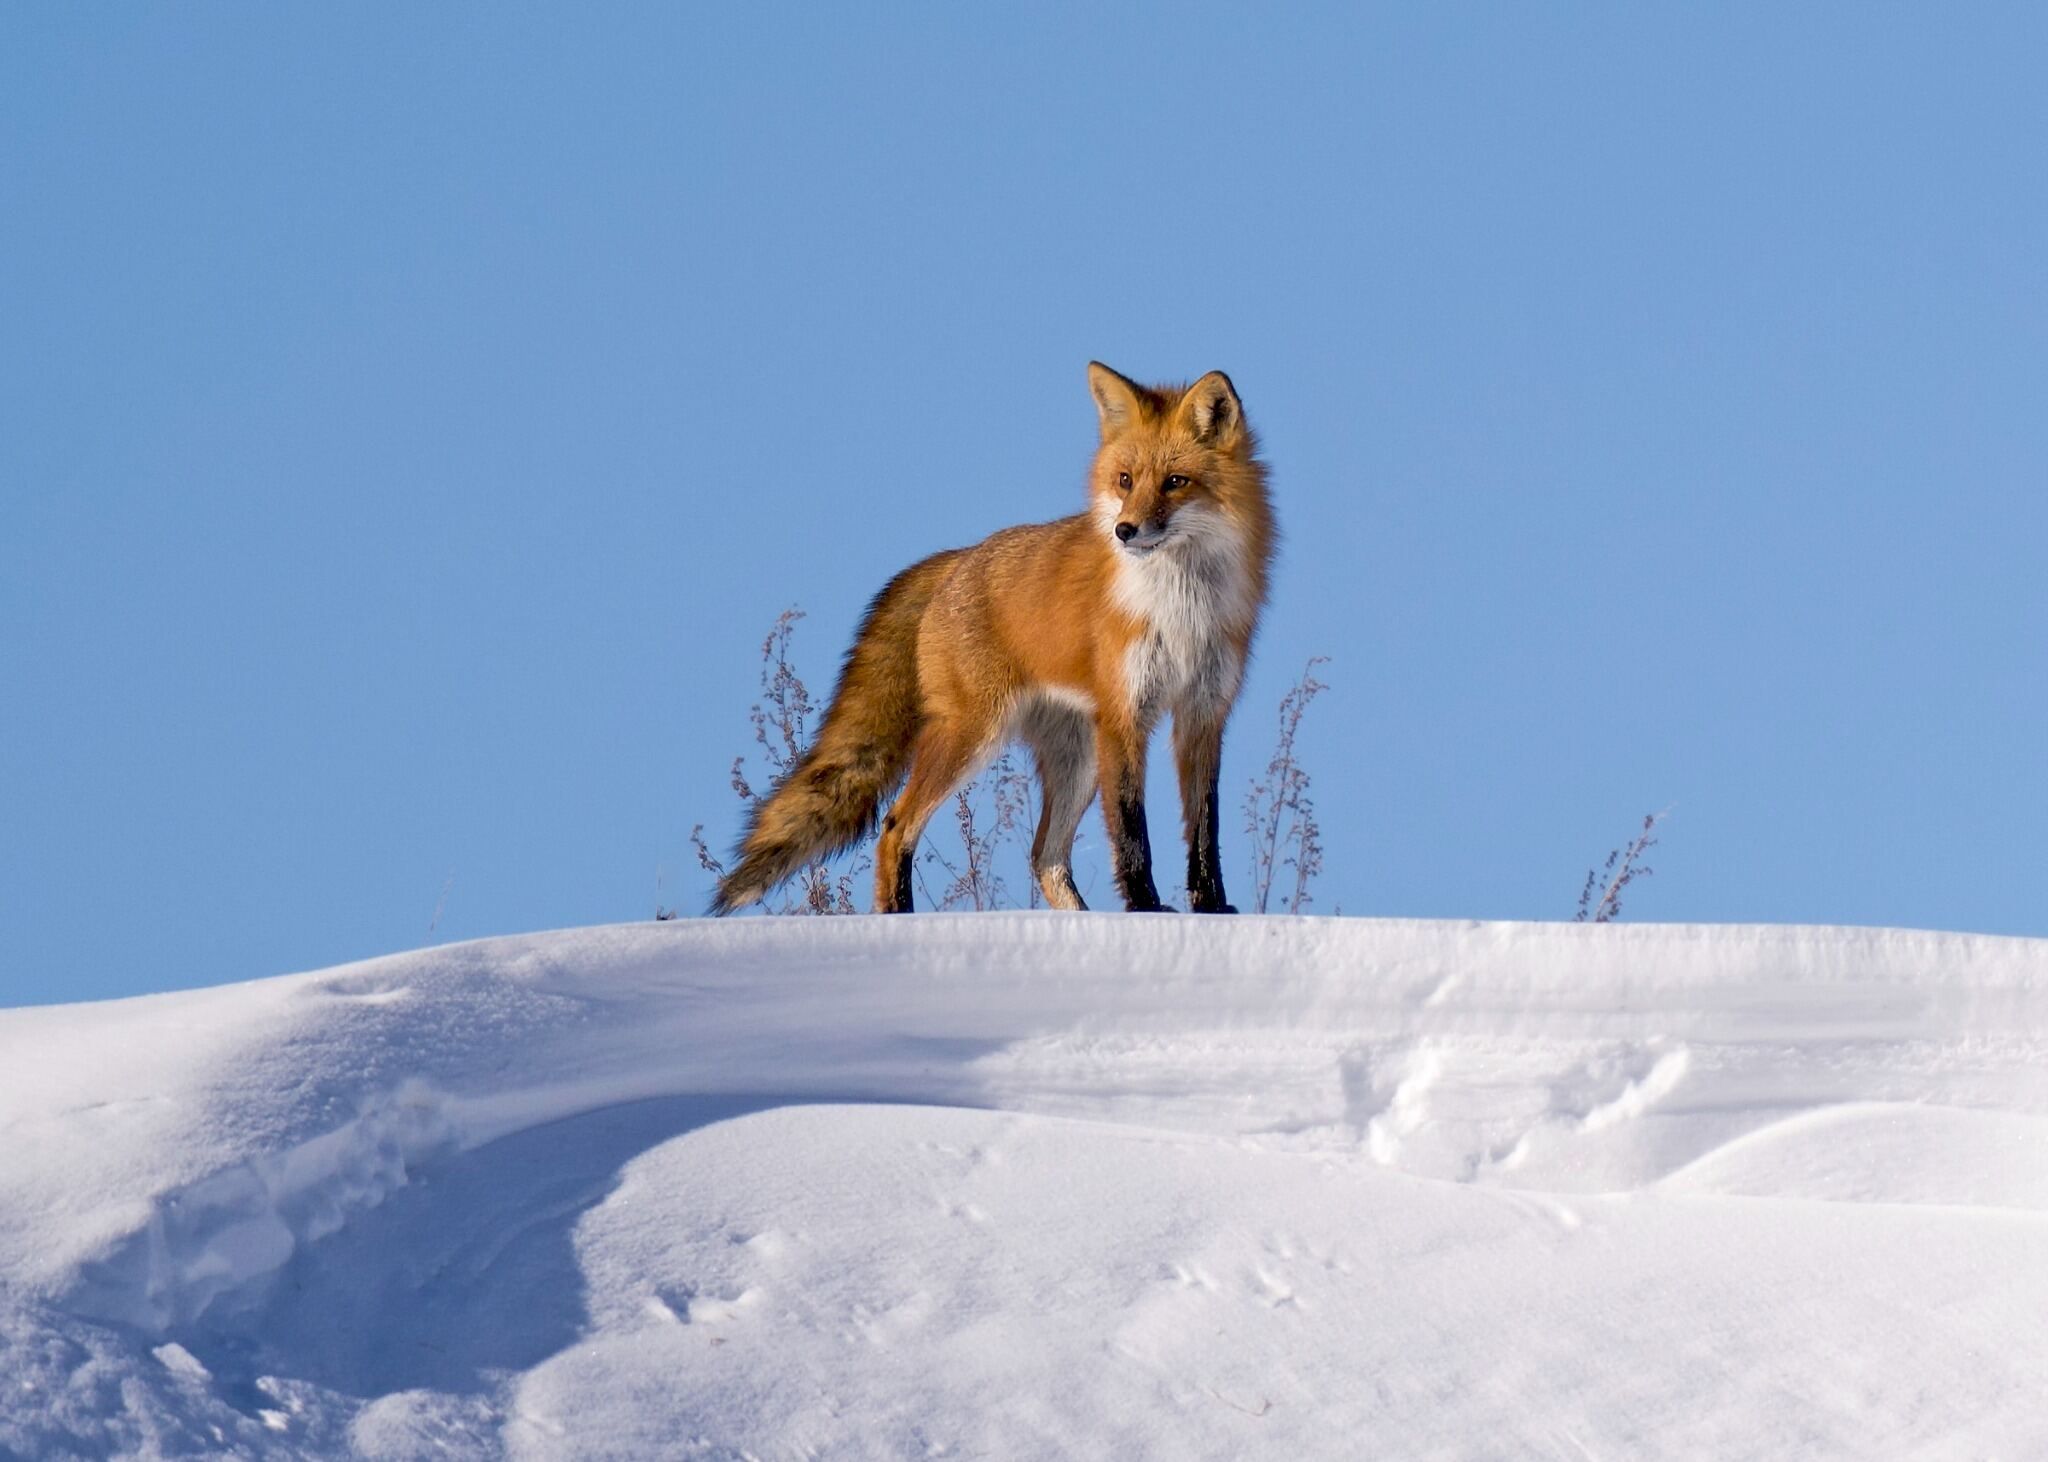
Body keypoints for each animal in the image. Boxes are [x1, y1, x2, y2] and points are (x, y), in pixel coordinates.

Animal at [711, 361, 1275, 916]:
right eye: (1125, 480)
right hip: (976, 733)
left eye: (1176, 481)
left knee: (1045, 855)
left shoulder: (1203, 714)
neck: (1181, 610)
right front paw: (1146, 909)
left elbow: (1204, 828)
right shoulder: (1124, 715)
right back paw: (897, 919)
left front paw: (1212, 908)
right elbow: (1132, 829)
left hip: (1076, 761)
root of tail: (958, 558)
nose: (1124, 530)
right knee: (896, 826)